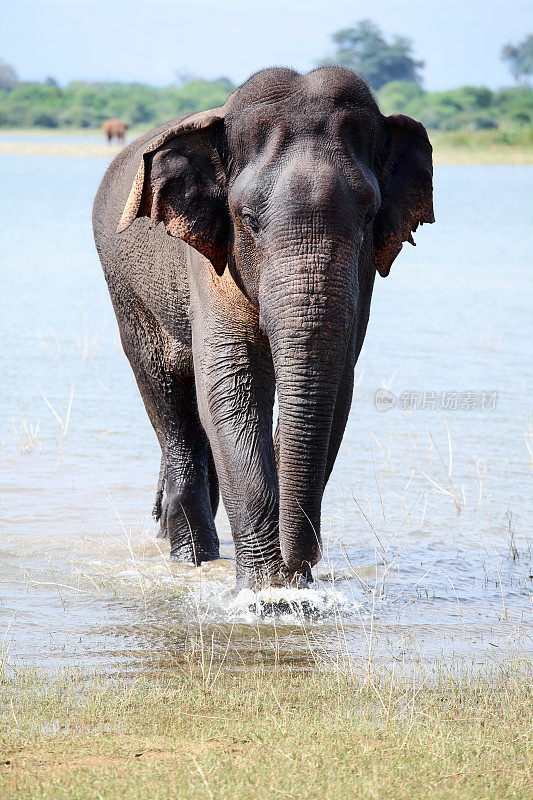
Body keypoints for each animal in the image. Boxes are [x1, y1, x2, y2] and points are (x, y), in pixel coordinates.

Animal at [92, 69, 432, 592]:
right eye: (248, 220)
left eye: (369, 217)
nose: (304, 559)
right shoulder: (210, 263)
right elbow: (230, 385)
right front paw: (266, 596)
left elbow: (337, 386)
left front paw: (291, 590)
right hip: (125, 290)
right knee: (166, 396)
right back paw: (192, 560)